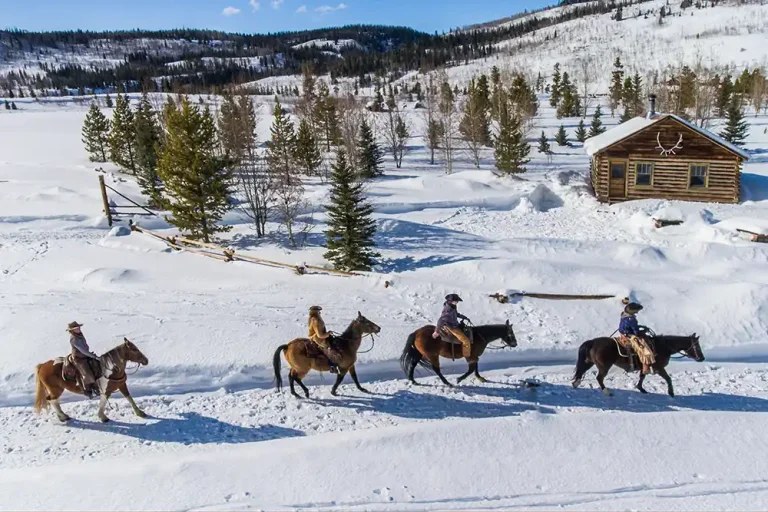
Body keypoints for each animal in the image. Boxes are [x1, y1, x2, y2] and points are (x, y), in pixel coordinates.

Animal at [571, 333, 704, 396]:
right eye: (697, 345)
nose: (702, 358)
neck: (663, 347)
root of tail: (593, 342)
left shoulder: (645, 366)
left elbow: (642, 376)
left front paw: (641, 388)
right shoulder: (659, 368)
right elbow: (668, 378)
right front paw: (671, 393)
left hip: (589, 362)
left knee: (581, 371)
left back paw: (575, 384)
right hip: (604, 366)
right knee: (599, 378)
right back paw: (607, 392)